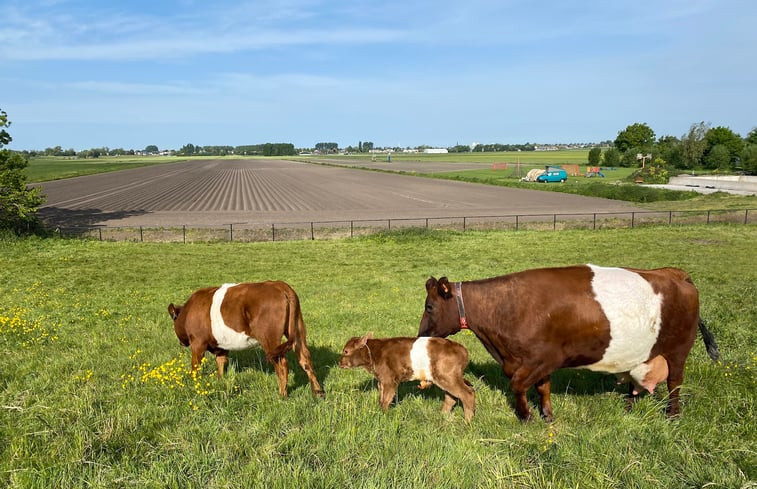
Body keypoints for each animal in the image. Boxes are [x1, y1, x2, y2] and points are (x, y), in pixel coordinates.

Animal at [167, 280, 324, 398]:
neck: (188, 311)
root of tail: (280, 285)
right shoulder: (221, 346)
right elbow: (221, 362)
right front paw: (220, 380)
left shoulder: (198, 342)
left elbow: (195, 366)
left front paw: (193, 382)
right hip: (298, 331)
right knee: (305, 359)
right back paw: (318, 392)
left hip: (270, 338)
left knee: (282, 364)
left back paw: (282, 394)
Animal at [420, 264, 720, 420]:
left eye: (430, 306)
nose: (421, 334)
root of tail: (674, 273)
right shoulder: (537, 363)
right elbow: (543, 388)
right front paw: (547, 416)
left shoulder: (540, 360)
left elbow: (517, 385)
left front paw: (526, 416)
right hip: (641, 355)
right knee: (635, 384)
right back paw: (628, 409)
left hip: (678, 351)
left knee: (674, 384)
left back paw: (672, 414)